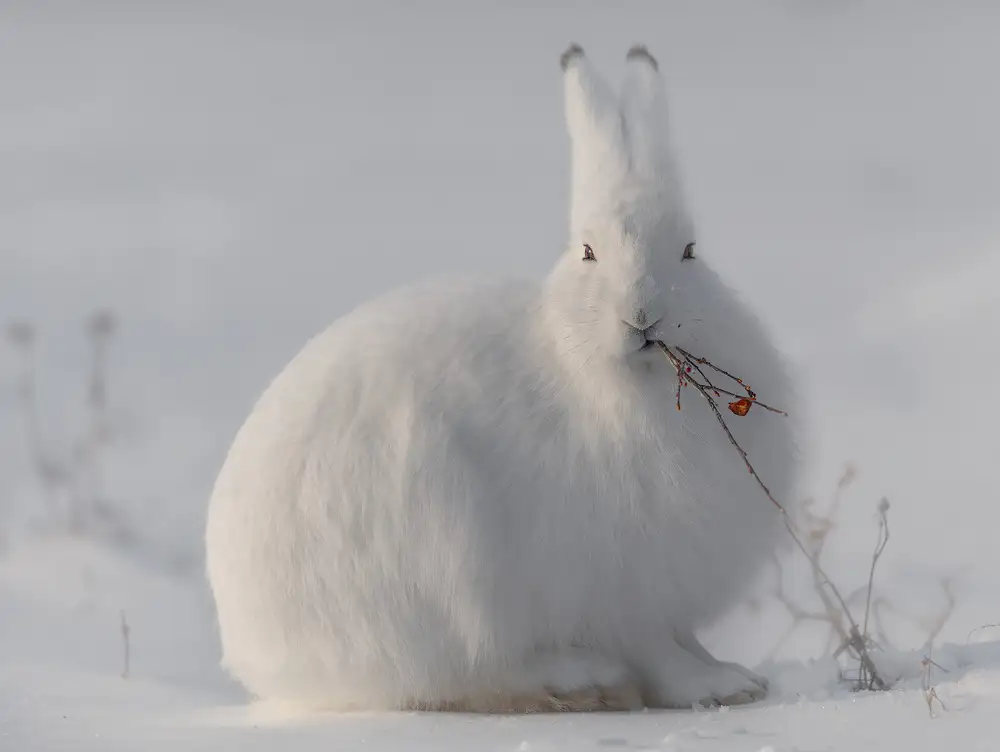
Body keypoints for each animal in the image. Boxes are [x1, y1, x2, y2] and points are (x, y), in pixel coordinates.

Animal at [205, 43, 799, 713]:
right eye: (589, 252)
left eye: (691, 252)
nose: (643, 315)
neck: (611, 378)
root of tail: (254, 652)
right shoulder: (617, 586)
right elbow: (658, 653)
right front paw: (713, 687)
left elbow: (685, 638)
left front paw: (737, 678)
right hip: (441, 559)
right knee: (462, 672)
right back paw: (580, 676)